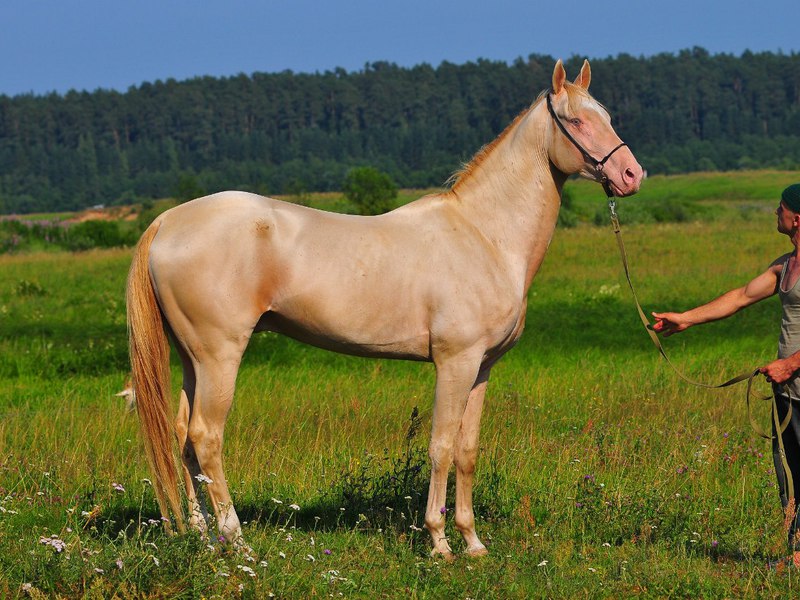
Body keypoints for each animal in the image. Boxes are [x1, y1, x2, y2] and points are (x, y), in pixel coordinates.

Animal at [126, 59, 643, 559]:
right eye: (576, 121)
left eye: (607, 116)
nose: (631, 176)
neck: (483, 235)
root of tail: (167, 220)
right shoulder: (455, 363)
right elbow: (440, 447)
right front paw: (439, 542)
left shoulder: (481, 368)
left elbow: (467, 451)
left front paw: (473, 542)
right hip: (220, 356)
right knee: (206, 438)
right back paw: (236, 541)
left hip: (193, 359)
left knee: (182, 435)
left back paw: (200, 535)